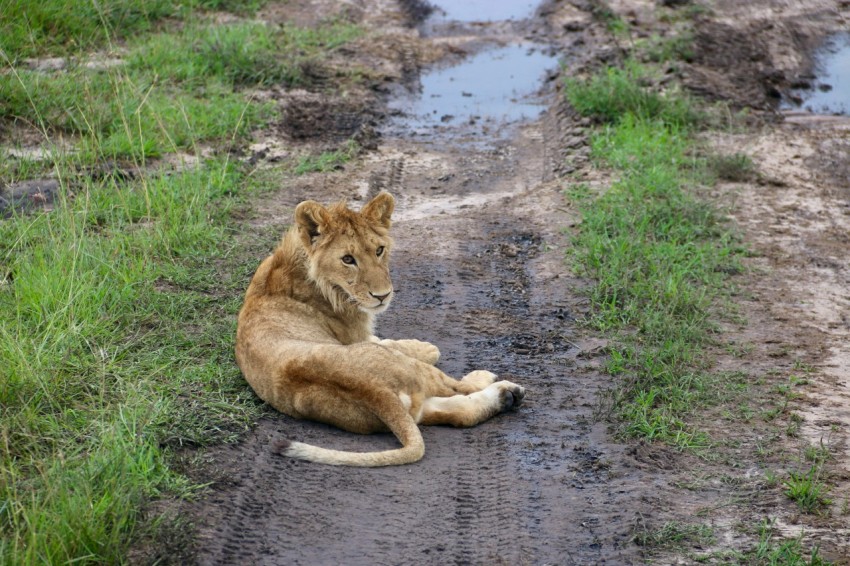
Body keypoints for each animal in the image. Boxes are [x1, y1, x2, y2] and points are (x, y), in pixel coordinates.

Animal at [235, 192, 526, 466]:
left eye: (379, 250)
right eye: (348, 259)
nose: (382, 296)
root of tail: (374, 391)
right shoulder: (360, 336)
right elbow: (402, 344)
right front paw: (426, 346)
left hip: (408, 405)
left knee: (458, 413)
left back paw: (507, 396)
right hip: (408, 369)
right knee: (458, 389)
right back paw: (493, 382)